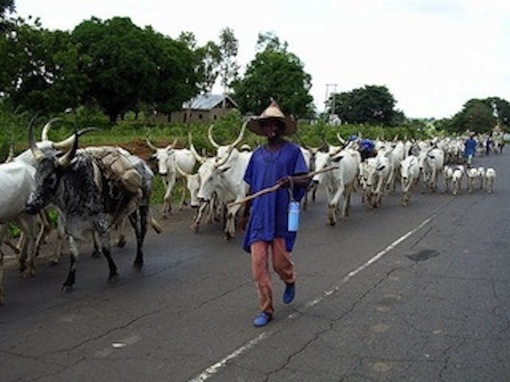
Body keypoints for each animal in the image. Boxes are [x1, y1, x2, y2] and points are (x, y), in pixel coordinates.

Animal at [26, 124, 148, 290]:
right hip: (130, 210)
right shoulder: (72, 225)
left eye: (50, 179)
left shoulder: (102, 223)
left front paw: (113, 273)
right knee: (137, 230)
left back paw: (138, 261)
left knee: (141, 232)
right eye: (36, 176)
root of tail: (142, 164)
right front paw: (69, 282)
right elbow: (73, 254)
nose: (30, 206)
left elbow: (106, 250)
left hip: (144, 205)